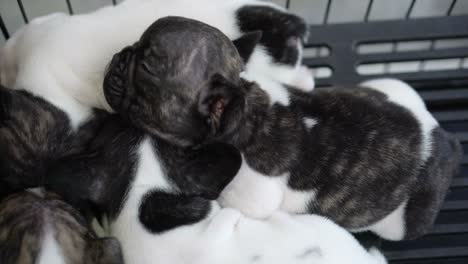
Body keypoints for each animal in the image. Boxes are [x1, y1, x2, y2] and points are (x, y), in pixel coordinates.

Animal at [107, 14, 464, 241]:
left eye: (146, 68)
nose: (117, 57)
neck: (245, 110)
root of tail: (444, 139)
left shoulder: (253, 197)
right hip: (391, 86)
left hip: (401, 223)